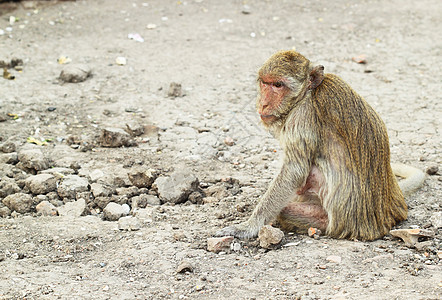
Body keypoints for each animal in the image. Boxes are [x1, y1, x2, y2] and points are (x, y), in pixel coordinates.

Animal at [217, 49, 424, 241]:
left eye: (278, 85)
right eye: (264, 83)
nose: (263, 104)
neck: (308, 94)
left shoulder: (302, 117)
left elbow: (294, 171)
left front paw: (248, 226)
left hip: (331, 223)